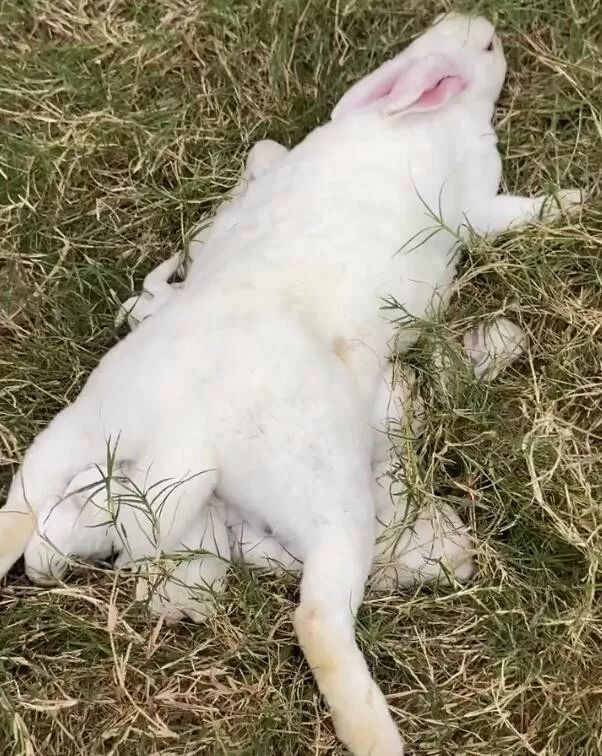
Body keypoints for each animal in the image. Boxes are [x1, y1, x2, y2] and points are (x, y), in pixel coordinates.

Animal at [0, 13, 580, 756]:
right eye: (486, 49)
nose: (481, 22)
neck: (425, 115)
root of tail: (189, 443)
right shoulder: (478, 202)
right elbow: (517, 212)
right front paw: (575, 200)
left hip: (82, 428)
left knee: (18, 510)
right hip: (334, 505)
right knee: (318, 620)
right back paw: (377, 736)